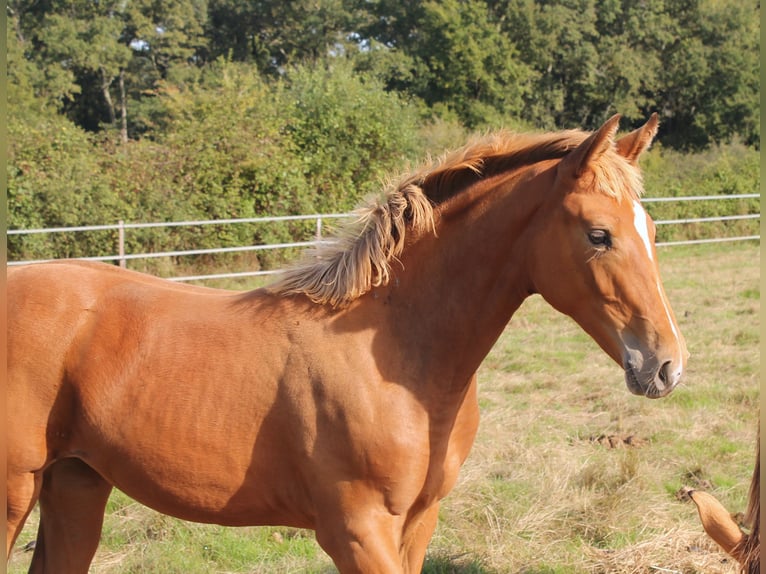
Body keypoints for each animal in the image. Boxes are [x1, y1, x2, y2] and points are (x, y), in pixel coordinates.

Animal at [6, 115, 688, 572]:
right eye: (598, 235)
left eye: (652, 229)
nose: (666, 366)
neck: (398, 361)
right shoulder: (357, 530)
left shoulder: (417, 523)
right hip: (15, 490)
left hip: (76, 483)